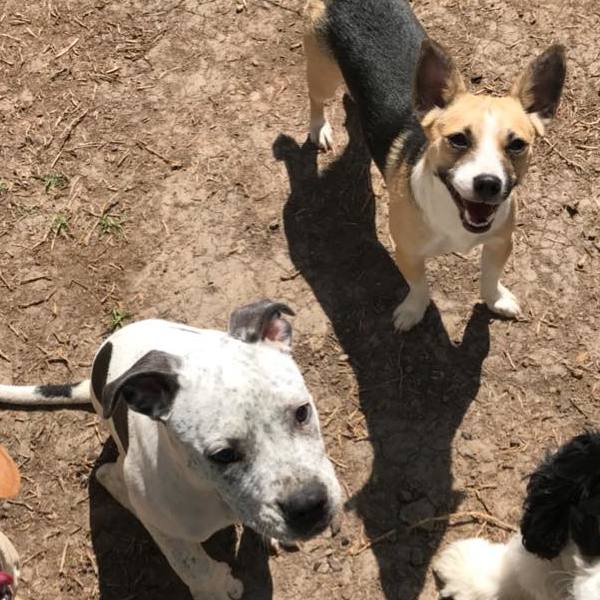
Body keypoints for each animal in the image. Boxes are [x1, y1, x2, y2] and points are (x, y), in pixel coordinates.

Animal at [0, 299, 342, 600]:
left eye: (302, 412)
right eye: (222, 455)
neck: (212, 492)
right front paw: (216, 588)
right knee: (109, 476)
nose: (309, 506)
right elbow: (192, 565)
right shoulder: (165, 528)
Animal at [303, 0, 566, 330]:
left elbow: (490, 278)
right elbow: (419, 287)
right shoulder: (408, 252)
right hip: (322, 74)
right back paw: (319, 128)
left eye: (517, 144)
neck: (455, 214)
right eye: (458, 139)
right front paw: (413, 312)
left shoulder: (500, 242)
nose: (488, 183)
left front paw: (496, 300)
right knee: (315, 99)